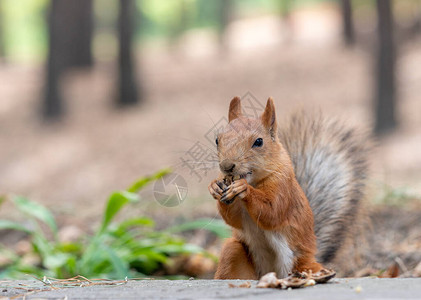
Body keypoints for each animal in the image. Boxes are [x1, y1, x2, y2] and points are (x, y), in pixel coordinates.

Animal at [208, 97, 366, 280]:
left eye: (258, 142)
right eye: (217, 140)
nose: (227, 166)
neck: (254, 181)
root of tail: (272, 273)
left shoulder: (284, 188)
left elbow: (272, 212)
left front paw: (243, 189)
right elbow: (233, 218)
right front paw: (214, 186)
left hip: (301, 263)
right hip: (233, 251)